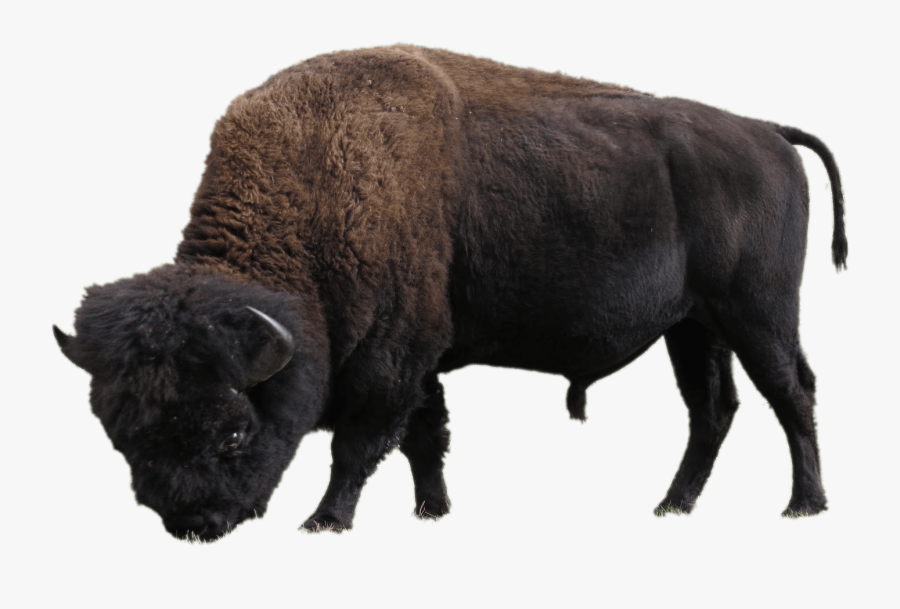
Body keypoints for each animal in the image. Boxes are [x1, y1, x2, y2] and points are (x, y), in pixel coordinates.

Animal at [54, 45, 846, 540]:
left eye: (233, 430)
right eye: (120, 433)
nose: (193, 524)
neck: (317, 187)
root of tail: (766, 132)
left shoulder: (392, 357)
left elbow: (363, 442)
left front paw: (325, 521)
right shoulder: (424, 360)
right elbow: (424, 438)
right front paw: (432, 512)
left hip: (758, 314)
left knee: (791, 392)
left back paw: (803, 506)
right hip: (694, 326)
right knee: (712, 409)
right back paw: (671, 506)